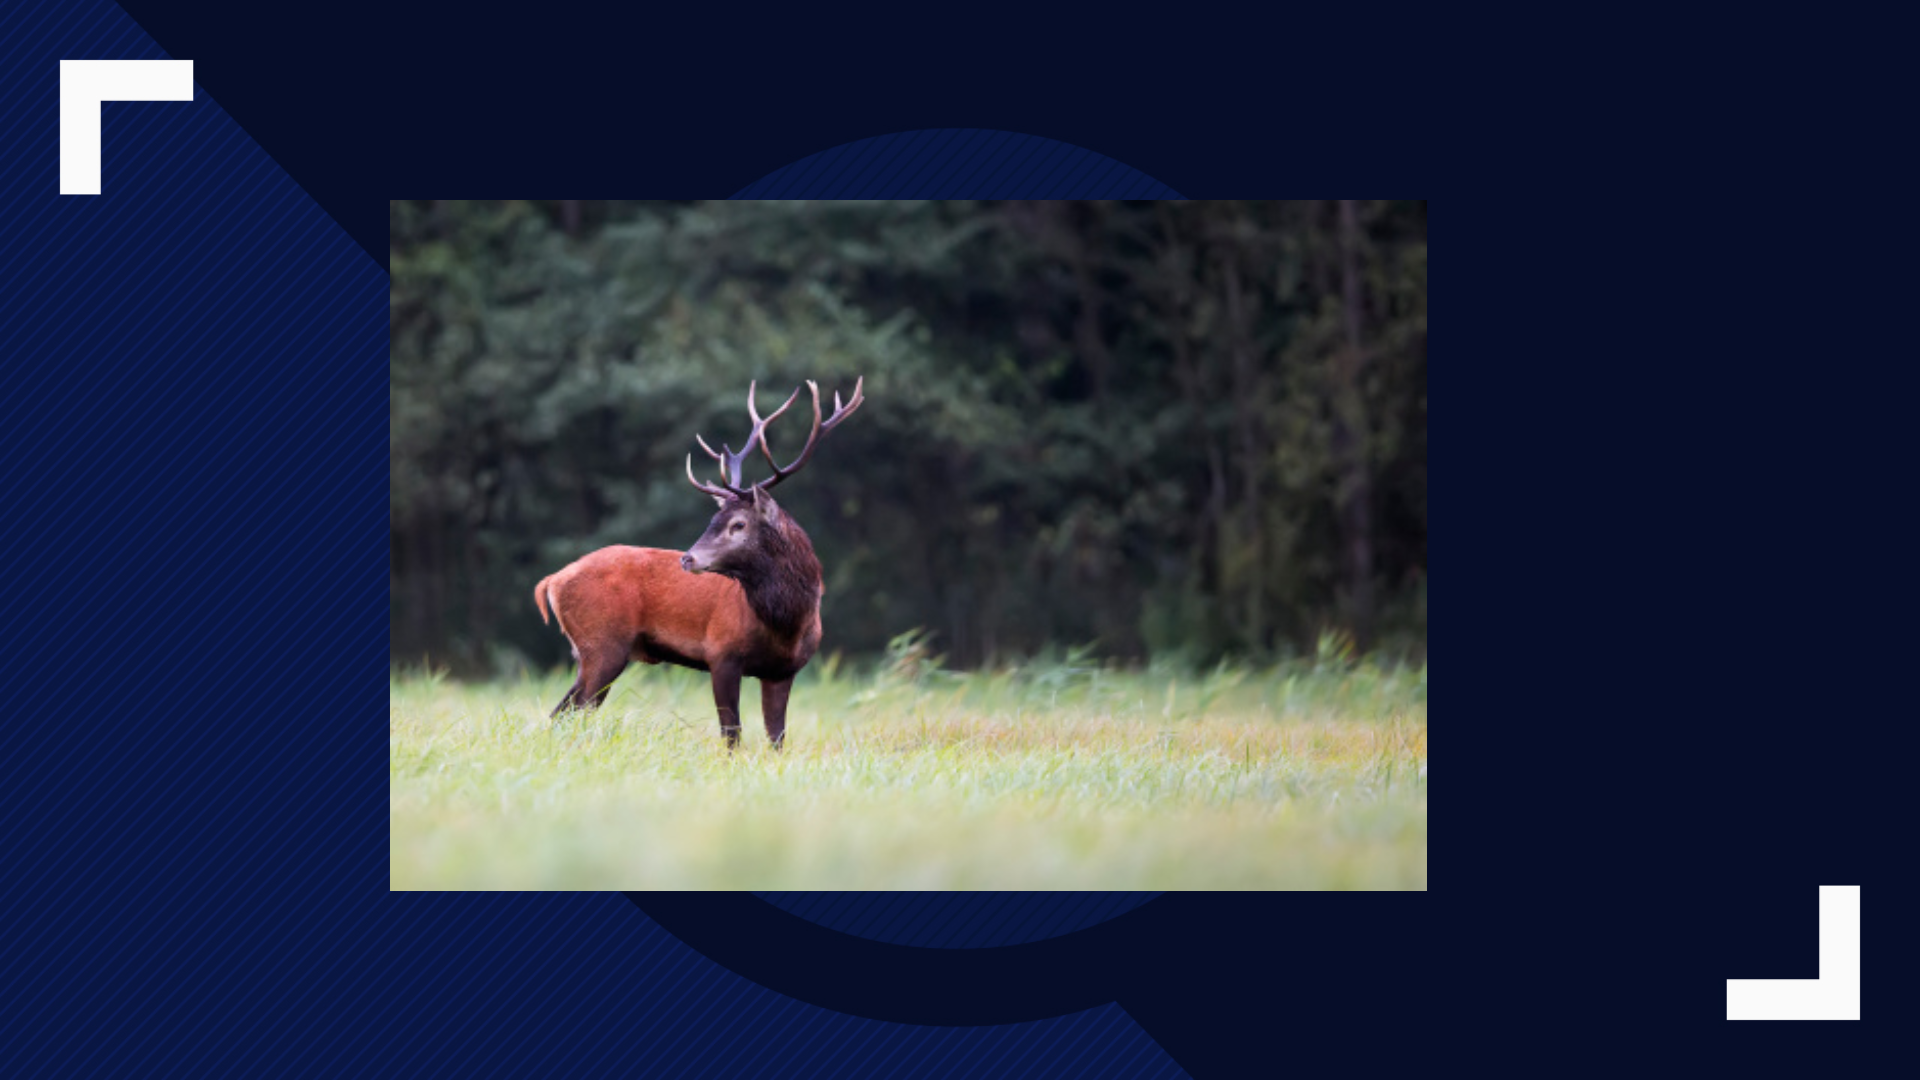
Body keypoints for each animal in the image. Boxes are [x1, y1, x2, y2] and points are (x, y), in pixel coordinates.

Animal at [532, 377, 864, 749]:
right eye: (712, 520)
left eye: (738, 524)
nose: (687, 557)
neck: (787, 623)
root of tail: (552, 580)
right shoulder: (722, 653)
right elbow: (731, 734)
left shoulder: (784, 671)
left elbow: (777, 738)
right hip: (601, 645)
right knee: (573, 711)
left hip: (589, 652)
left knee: (560, 714)